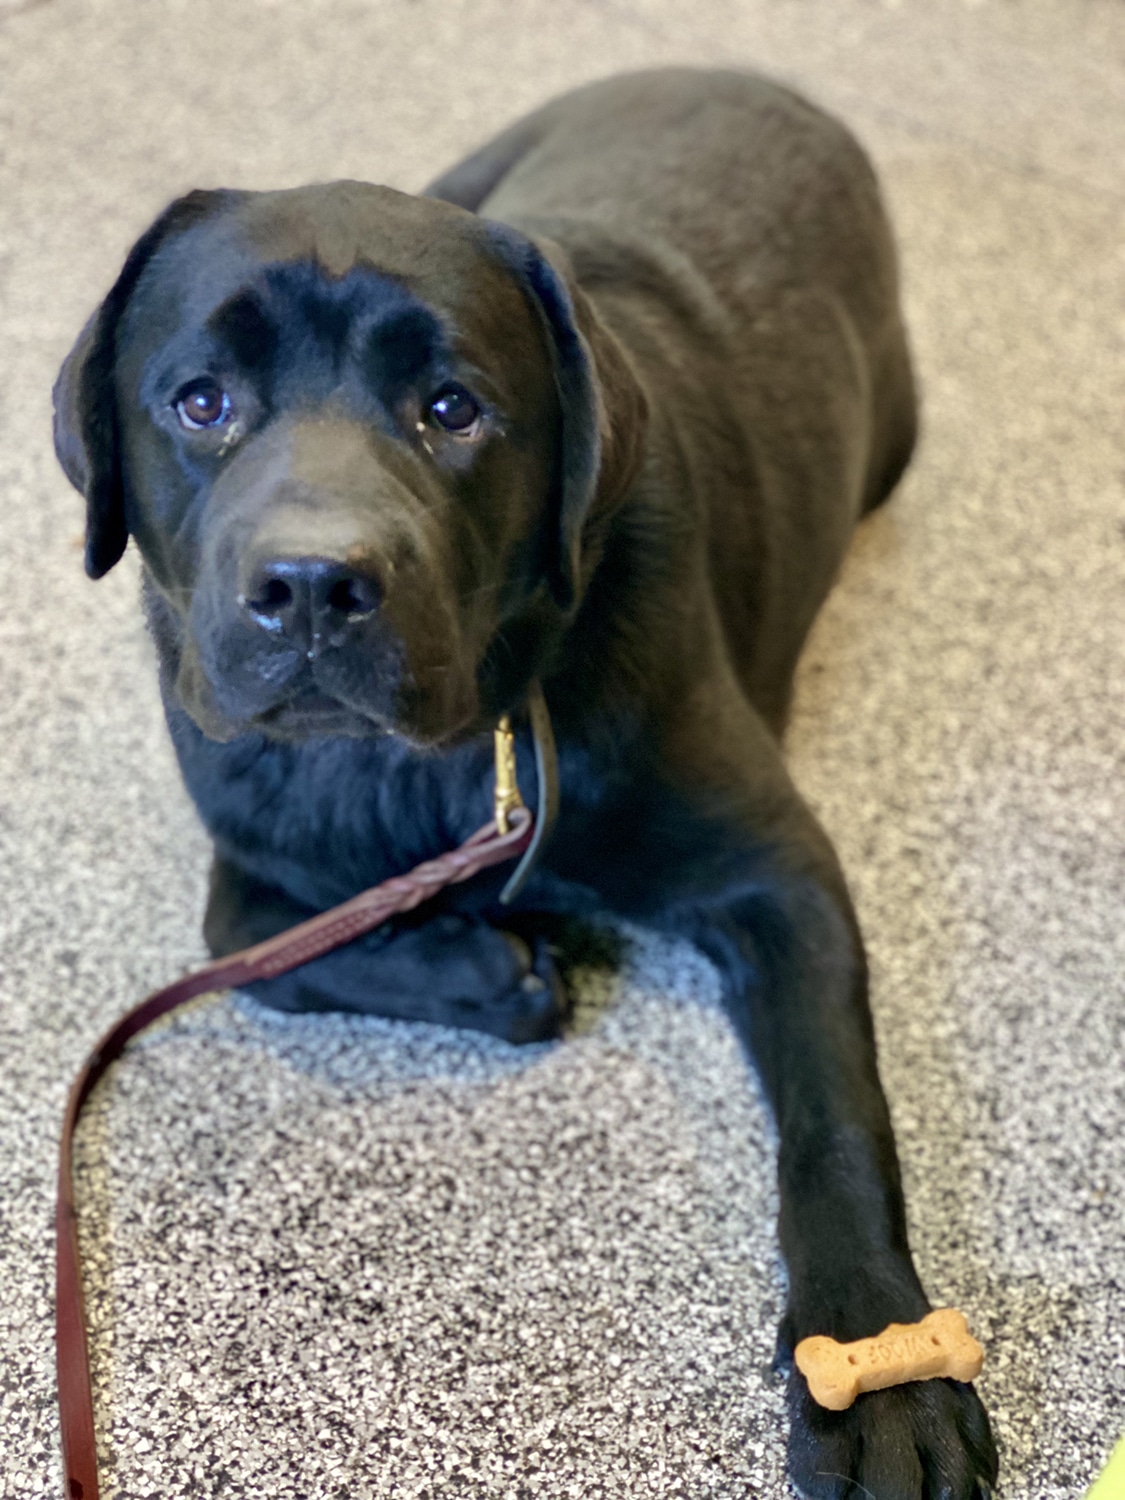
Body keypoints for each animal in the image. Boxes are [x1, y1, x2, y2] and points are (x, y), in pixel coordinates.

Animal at [55, 67, 996, 1488]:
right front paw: (483, 966)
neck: (437, 757)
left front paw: (882, 1368)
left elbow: (838, 1115)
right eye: (200, 401)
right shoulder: (254, 833)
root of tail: (749, 75)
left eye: (453, 409)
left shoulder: (776, 869)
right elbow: (255, 943)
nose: (315, 585)